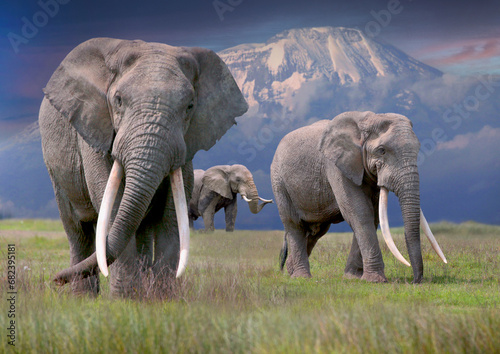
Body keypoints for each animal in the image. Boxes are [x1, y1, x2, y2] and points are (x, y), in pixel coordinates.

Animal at [39, 37, 248, 296]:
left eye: (190, 106)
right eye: (118, 100)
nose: (56, 279)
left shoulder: (186, 143)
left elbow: (171, 212)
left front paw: (162, 299)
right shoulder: (93, 128)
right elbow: (112, 200)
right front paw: (124, 299)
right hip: (57, 171)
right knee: (78, 230)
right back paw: (83, 298)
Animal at [272, 112, 448, 284]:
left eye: (418, 149)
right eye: (382, 150)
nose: (415, 281)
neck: (368, 119)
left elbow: (373, 215)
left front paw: (353, 277)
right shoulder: (336, 166)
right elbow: (359, 212)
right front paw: (375, 280)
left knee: (316, 231)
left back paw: (290, 270)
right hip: (279, 181)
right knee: (294, 225)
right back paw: (301, 277)